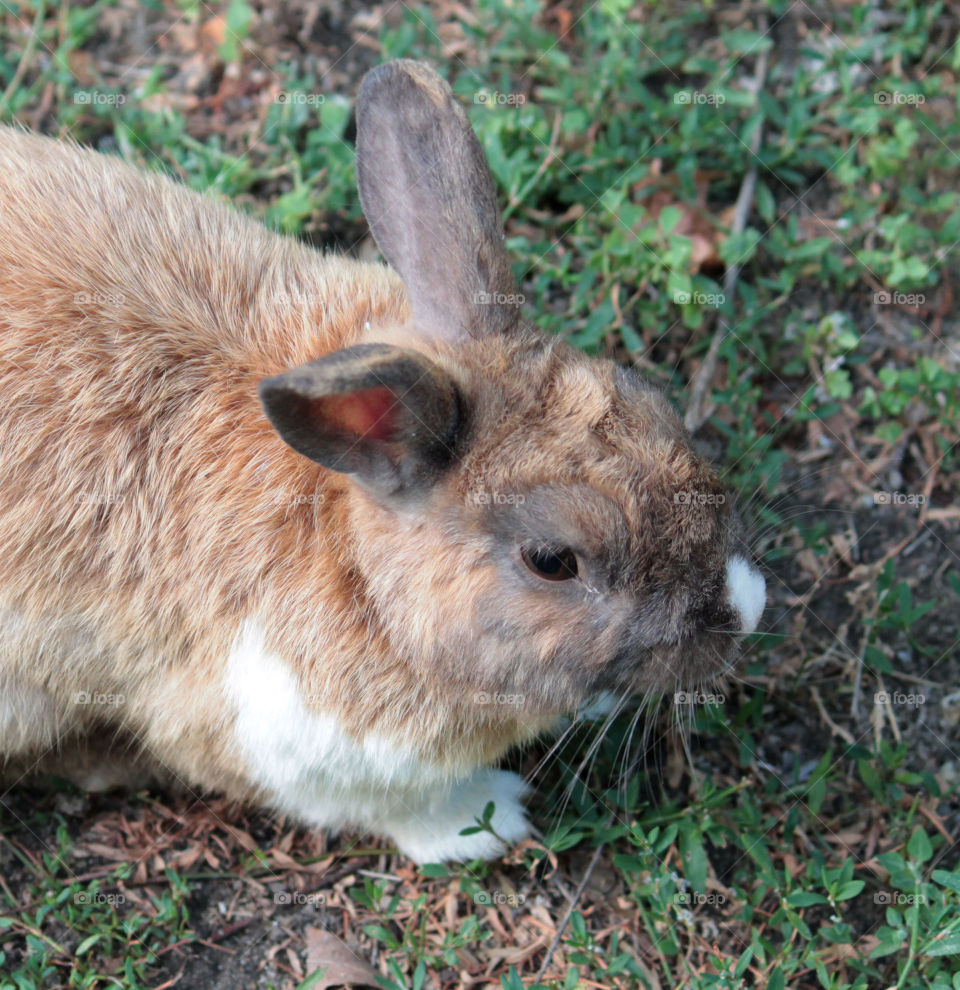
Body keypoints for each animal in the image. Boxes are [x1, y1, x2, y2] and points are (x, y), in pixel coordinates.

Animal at [0, 60, 765, 863]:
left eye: (653, 401)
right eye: (552, 560)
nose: (745, 609)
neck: (361, 557)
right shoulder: (277, 739)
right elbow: (390, 807)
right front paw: (489, 820)